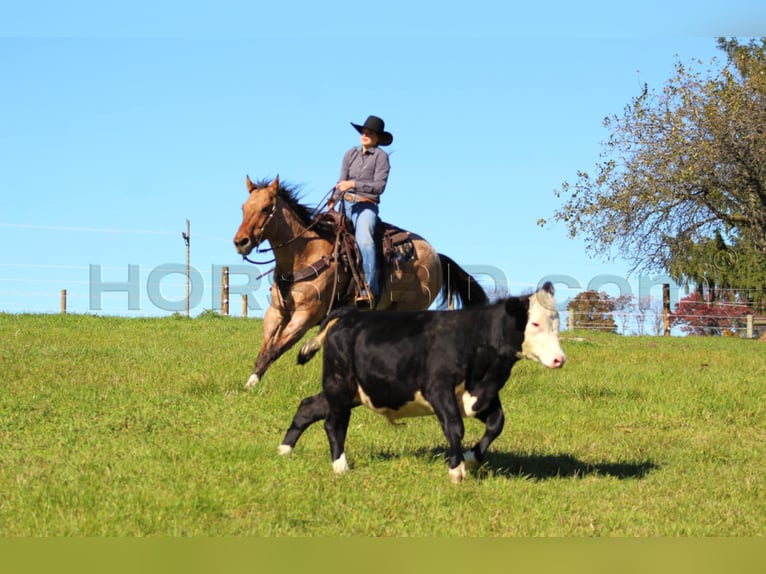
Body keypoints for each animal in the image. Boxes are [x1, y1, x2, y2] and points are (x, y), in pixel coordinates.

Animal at [231, 177, 492, 392]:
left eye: (266, 208)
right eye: (243, 208)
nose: (241, 242)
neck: (305, 253)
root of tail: (437, 256)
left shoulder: (305, 314)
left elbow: (276, 348)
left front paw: (251, 384)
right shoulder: (277, 312)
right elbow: (266, 347)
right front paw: (251, 381)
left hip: (407, 307)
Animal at [280, 282, 568, 484]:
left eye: (557, 324)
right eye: (535, 323)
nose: (559, 359)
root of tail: (348, 315)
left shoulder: (482, 396)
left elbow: (497, 423)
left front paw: (470, 458)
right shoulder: (438, 388)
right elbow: (455, 428)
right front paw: (456, 470)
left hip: (354, 391)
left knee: (308, 407)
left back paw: (284, 451)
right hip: (339, 383)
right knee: (334, 423)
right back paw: (340, 467)